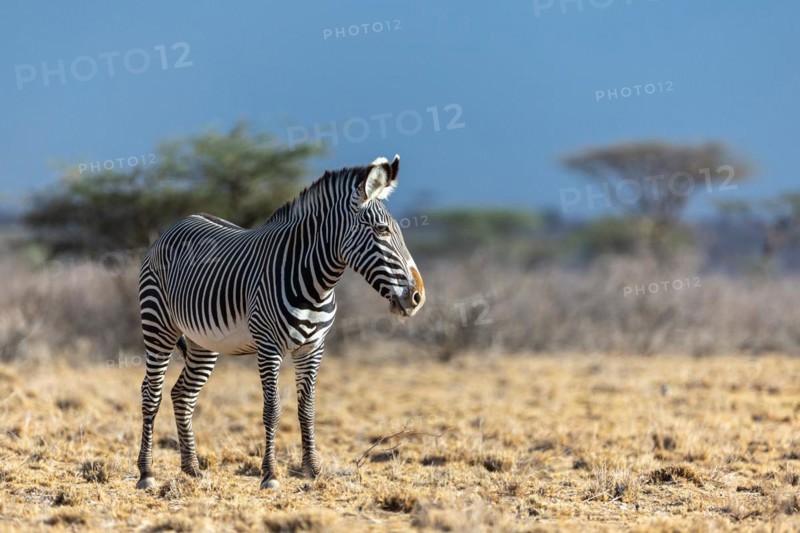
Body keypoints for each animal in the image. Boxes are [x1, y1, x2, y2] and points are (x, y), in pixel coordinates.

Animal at [135, 155, 425, 490]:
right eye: (381, 231)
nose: (418, 296)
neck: (316, 283)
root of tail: (179, 223)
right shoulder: (268, 346)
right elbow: (272, 409)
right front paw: (270, 475)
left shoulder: (313, 348)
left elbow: (307, 409)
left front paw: (312, 470)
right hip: (157, 323)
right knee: (151, 392)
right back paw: (146, 473)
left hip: (203, 342)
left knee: (182, 394)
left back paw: (192, 470)